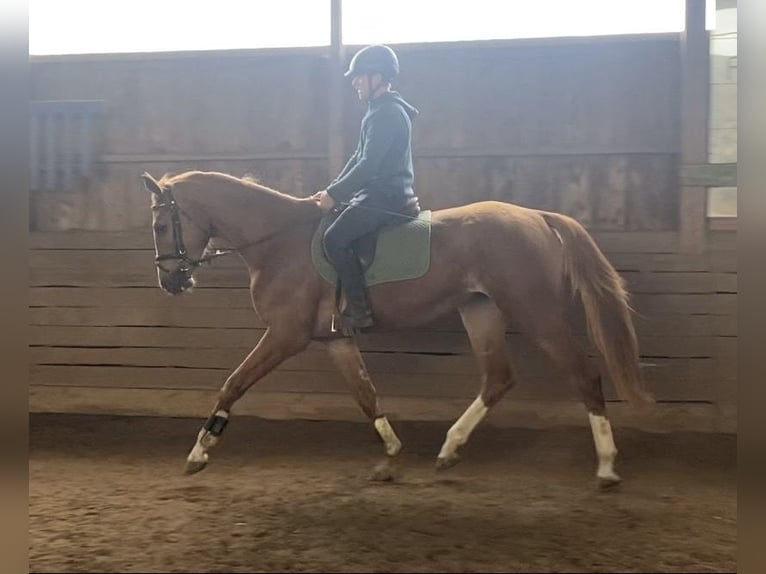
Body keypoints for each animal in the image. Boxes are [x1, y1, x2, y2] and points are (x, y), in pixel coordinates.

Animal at [141, 170, 656, 490]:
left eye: (162, 224)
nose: (171, 282)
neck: (277, 241)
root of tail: (539, 217)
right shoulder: (336, 340)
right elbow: (366, 395)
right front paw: (389, 455)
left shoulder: (286, 335)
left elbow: (233, 383)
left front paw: (200, 452)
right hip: (481, 311)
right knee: (498, 378)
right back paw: (449, 449)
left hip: (536, 312)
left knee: (584, 375)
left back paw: (606, 468)